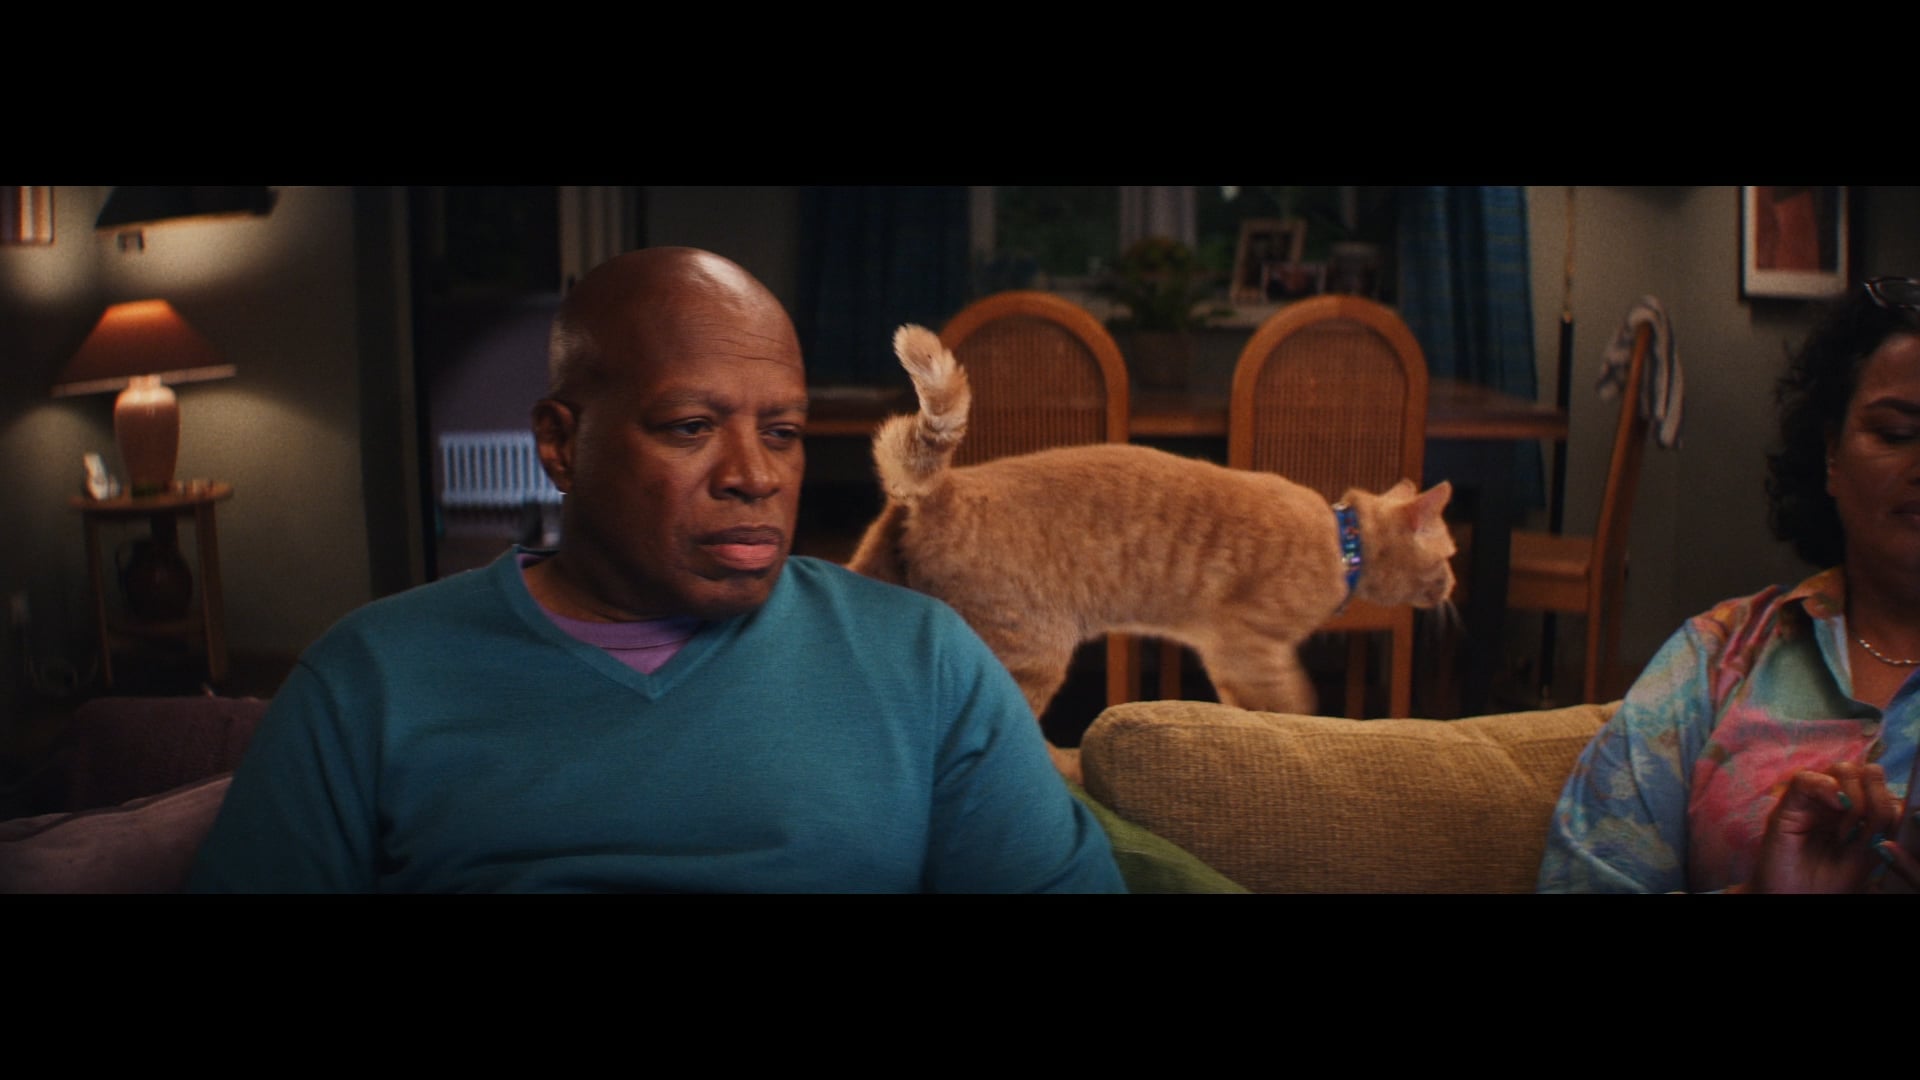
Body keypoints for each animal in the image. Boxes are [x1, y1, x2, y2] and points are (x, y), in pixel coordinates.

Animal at [847, 325, 1457, 781]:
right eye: (1450, 555)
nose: (1454, 586)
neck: (1343, 540)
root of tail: (947, 486)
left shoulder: (1230, 656)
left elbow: (1252, 708)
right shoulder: (1244, 645)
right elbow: (1293, 706)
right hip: (1031, 652)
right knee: (1015, 737)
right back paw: (1069, 769)